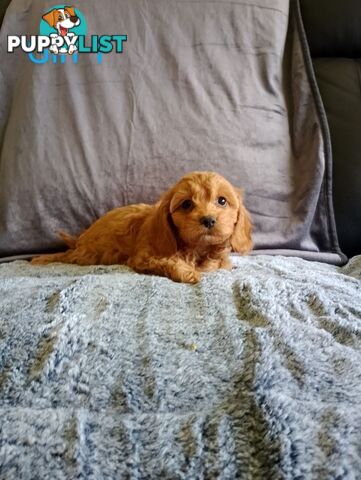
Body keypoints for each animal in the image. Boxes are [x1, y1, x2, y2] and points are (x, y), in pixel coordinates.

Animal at [31, 172, 253, 284]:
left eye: (222, 201)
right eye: (187, 204)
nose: (208, 220)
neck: (197, 248)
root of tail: (80, 239)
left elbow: (219, 263)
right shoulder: (145, 256)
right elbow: (170, 261)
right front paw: (188, 272)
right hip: (87, 255)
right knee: (66, 256)